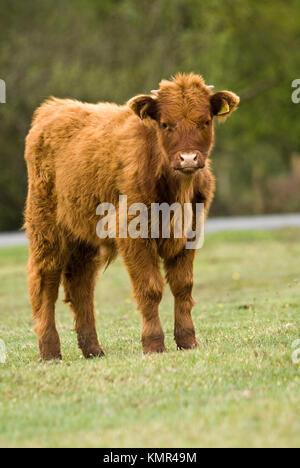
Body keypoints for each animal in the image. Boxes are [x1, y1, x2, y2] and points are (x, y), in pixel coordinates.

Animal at [24, 73, 239, 360]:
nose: (188, 158)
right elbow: (150, 288)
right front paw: (153, 343)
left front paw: (187, 340)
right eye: (165, 124)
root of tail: (54, 107)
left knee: (81, 286)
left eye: (205, 121)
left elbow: (183, 286)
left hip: (83, 237)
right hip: (46, 229)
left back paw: (92, 349)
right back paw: (50, 351)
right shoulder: (133, 233)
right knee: (45, 283)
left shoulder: (190, 233)